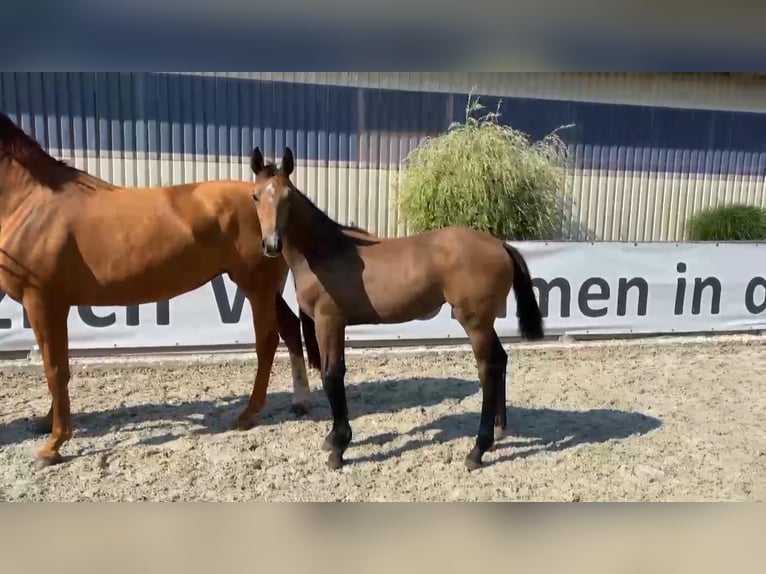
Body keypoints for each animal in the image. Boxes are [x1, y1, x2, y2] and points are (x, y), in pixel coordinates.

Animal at [0, 112, 320, 468]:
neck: (32, 203)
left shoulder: (42, 300)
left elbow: (54, 368)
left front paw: (54, 444)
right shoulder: (55, 304)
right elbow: (58, 364)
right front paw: (47, 423)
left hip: (256, 287)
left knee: (267, 342)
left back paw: (248, 414)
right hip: (265, 289)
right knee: (290, 328)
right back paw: (300, 401)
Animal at [252, 147, 544, 472]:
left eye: (287, 196)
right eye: (255, 196)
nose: (272, 245)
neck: (325, 251)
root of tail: (500, 244)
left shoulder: (330, 321)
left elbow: (332, 376)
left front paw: (339, 446)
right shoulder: (323, 325)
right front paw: (332, 439)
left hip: (475, 323)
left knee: (488, 369)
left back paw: (477, 449)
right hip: (484, 322)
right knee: (501, 359)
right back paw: (499, 430)